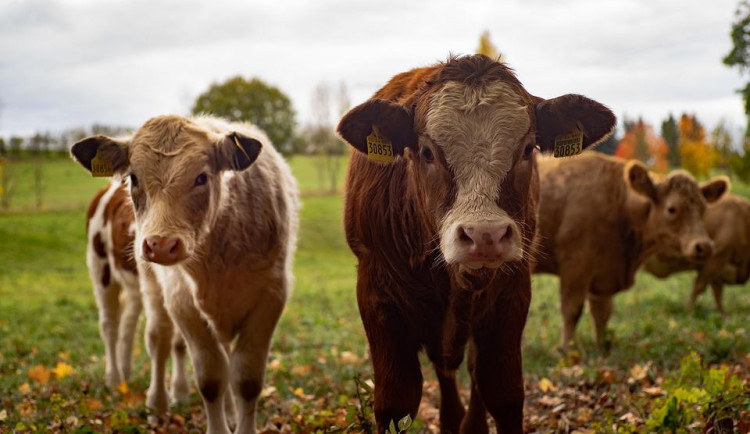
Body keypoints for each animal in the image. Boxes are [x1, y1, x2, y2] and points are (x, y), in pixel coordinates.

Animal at [84, 181, 191, 408]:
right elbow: (160, 336)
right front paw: (159, 401)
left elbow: (180, 342)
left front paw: (180, 392)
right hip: (101, 268)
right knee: (109, 325)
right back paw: (114, 379)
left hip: (134, 287)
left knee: (128, 323)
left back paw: (125, 373)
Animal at [340, 55, 616, 434]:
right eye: (426, 151)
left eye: (527, 149)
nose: (485, 235)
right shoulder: (376, 296)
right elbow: (396, 401)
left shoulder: (512, 295)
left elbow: (503, 391)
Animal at [536, 153, 736, 350]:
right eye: (671, 209)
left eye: (703, 209)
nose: (705, 245)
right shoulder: (575, 268)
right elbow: (572, 311)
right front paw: (567, 351)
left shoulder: (603, 275)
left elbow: (602, 314)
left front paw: (601, 347)